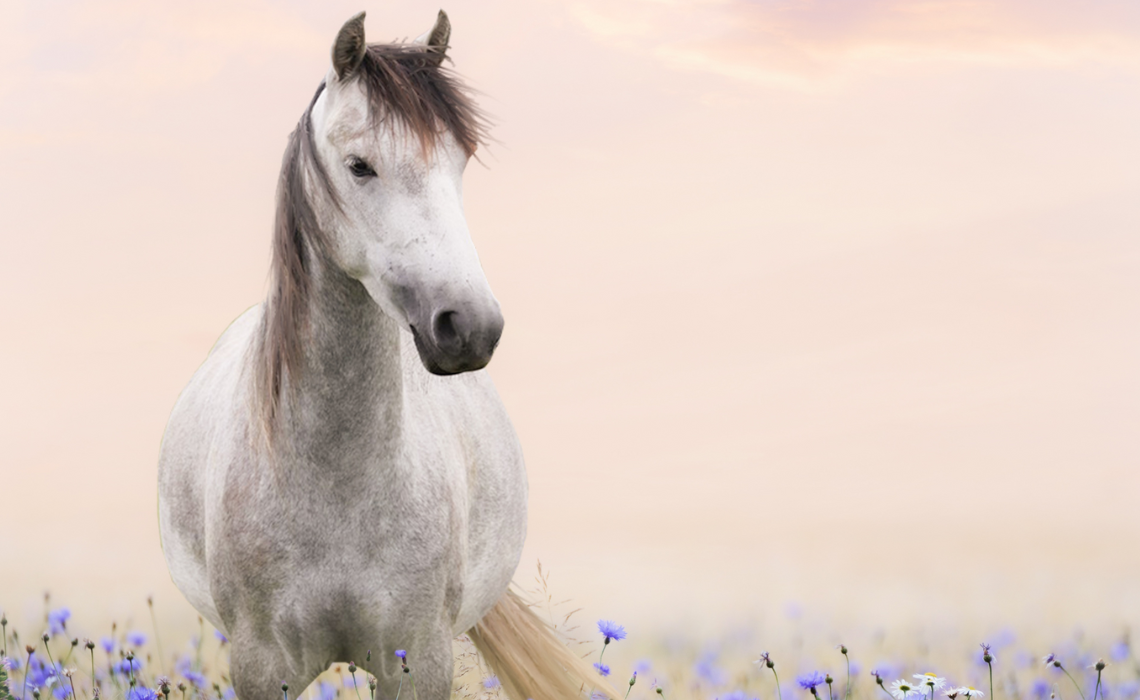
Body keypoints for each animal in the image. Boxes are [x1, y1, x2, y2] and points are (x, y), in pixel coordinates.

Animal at [157, 10, 611, 700]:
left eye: (459, 161)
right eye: (360, 166)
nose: (470, 327)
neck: (338, 484)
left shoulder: (419, 656)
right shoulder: (262, 663)